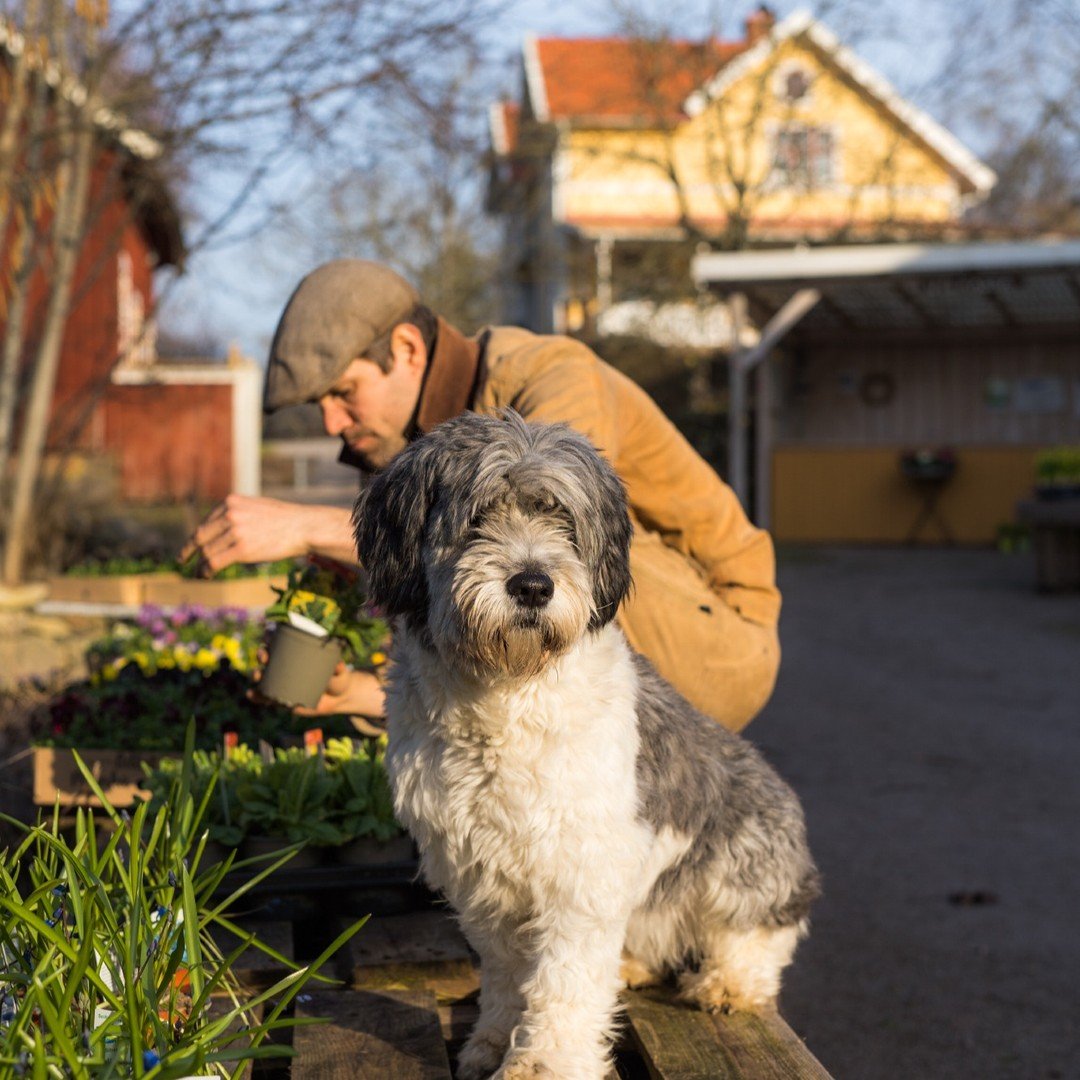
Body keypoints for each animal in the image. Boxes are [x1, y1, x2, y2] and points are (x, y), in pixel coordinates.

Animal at [354, 408, 816, 1075]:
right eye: (477, 518)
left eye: (563, 521)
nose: (532, 585)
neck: (504, 698)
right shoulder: (481, 875)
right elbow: (507, 973)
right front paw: (491, 1042)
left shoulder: (580, 872)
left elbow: (562, 983)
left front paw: (540, 1065)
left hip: (744, 853)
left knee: (758, 930)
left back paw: (728, 983)